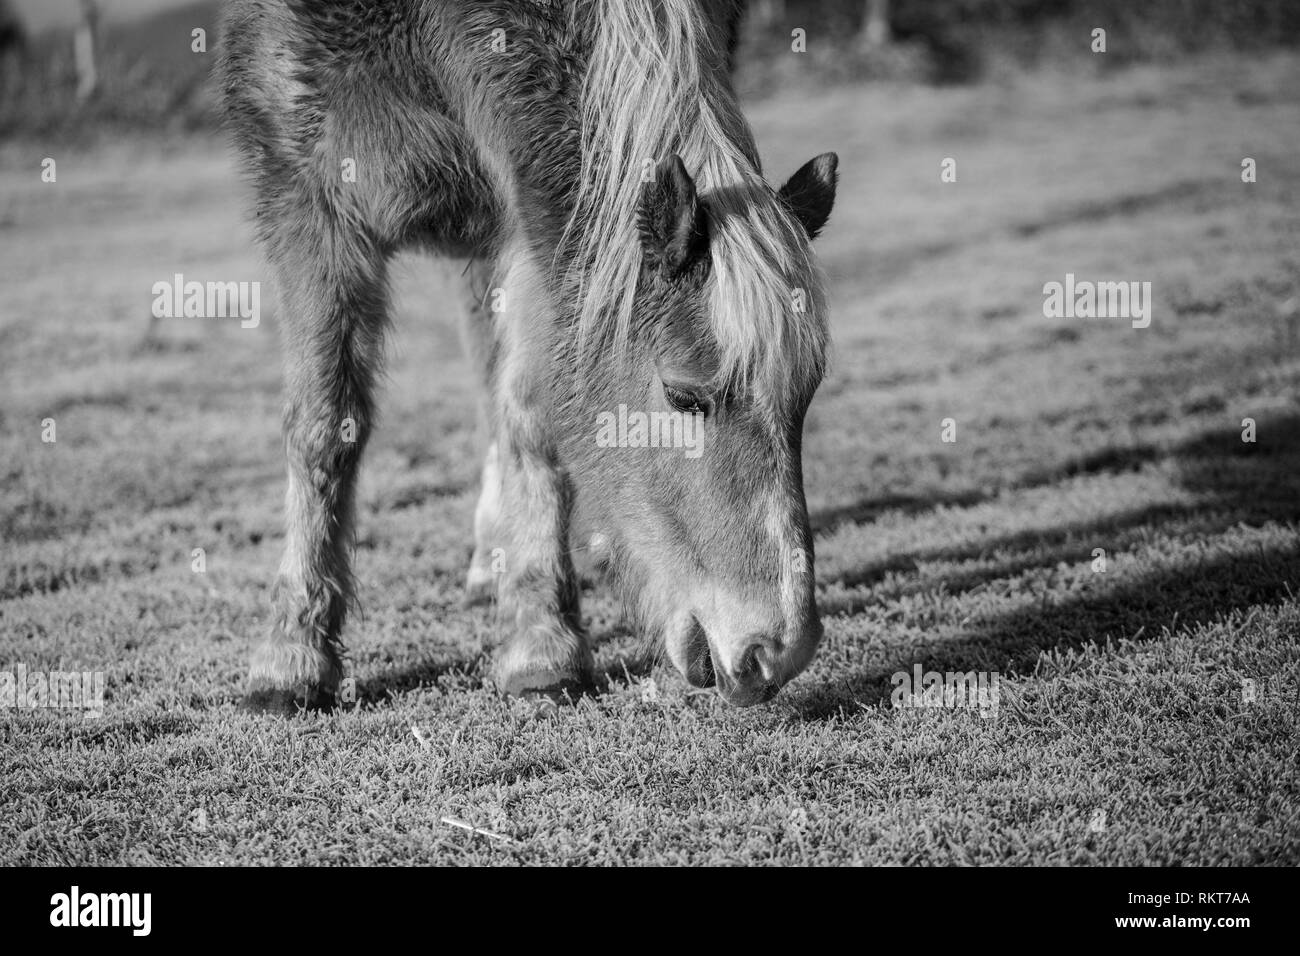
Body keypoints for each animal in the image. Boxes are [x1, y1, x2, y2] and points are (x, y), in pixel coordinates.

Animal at [217, 0, 839, 711]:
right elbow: (324, 425)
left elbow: (533, 421)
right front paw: (291, 655)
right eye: (684, 396)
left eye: (805, 398)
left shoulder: (528, 219)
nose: (778, 652)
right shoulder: (306, 196)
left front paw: (543, 644)